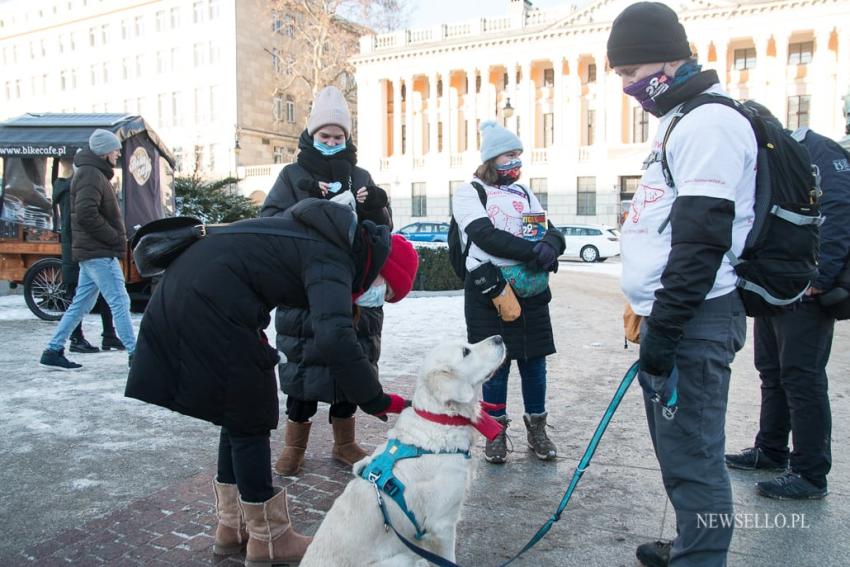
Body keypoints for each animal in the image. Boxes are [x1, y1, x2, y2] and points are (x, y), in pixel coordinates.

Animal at [300, 336, 504, 564]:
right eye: (466, 352)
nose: (499, 338)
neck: (441, 420)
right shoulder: (442, 524)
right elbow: (448, 559)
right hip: (402, 558)